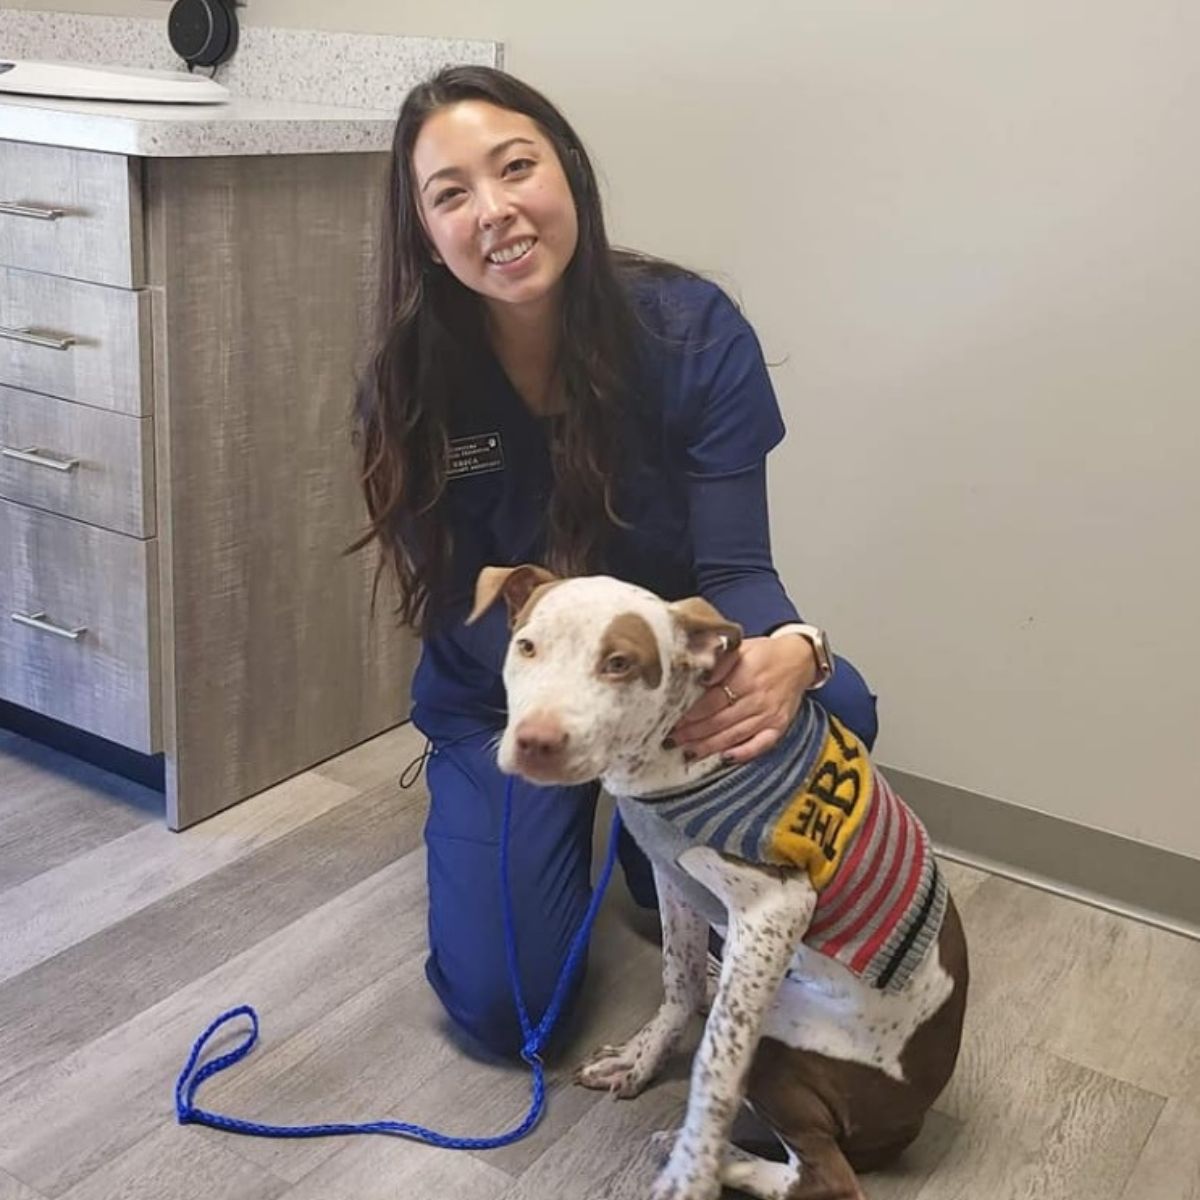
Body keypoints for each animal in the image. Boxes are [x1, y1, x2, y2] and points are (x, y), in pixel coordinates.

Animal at [465, 564, 964, 1200]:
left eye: (619, 663)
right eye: (527, 646)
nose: (537, 741)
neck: (672, 750)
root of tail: (910, 1120)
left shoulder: (775, 907)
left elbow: (717, 1061)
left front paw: (694, 1166)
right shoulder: (671, 874)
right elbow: (675, 979)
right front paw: (642, 1058)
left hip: (781, 1046)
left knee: (827, 1176)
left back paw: (716, 1159)